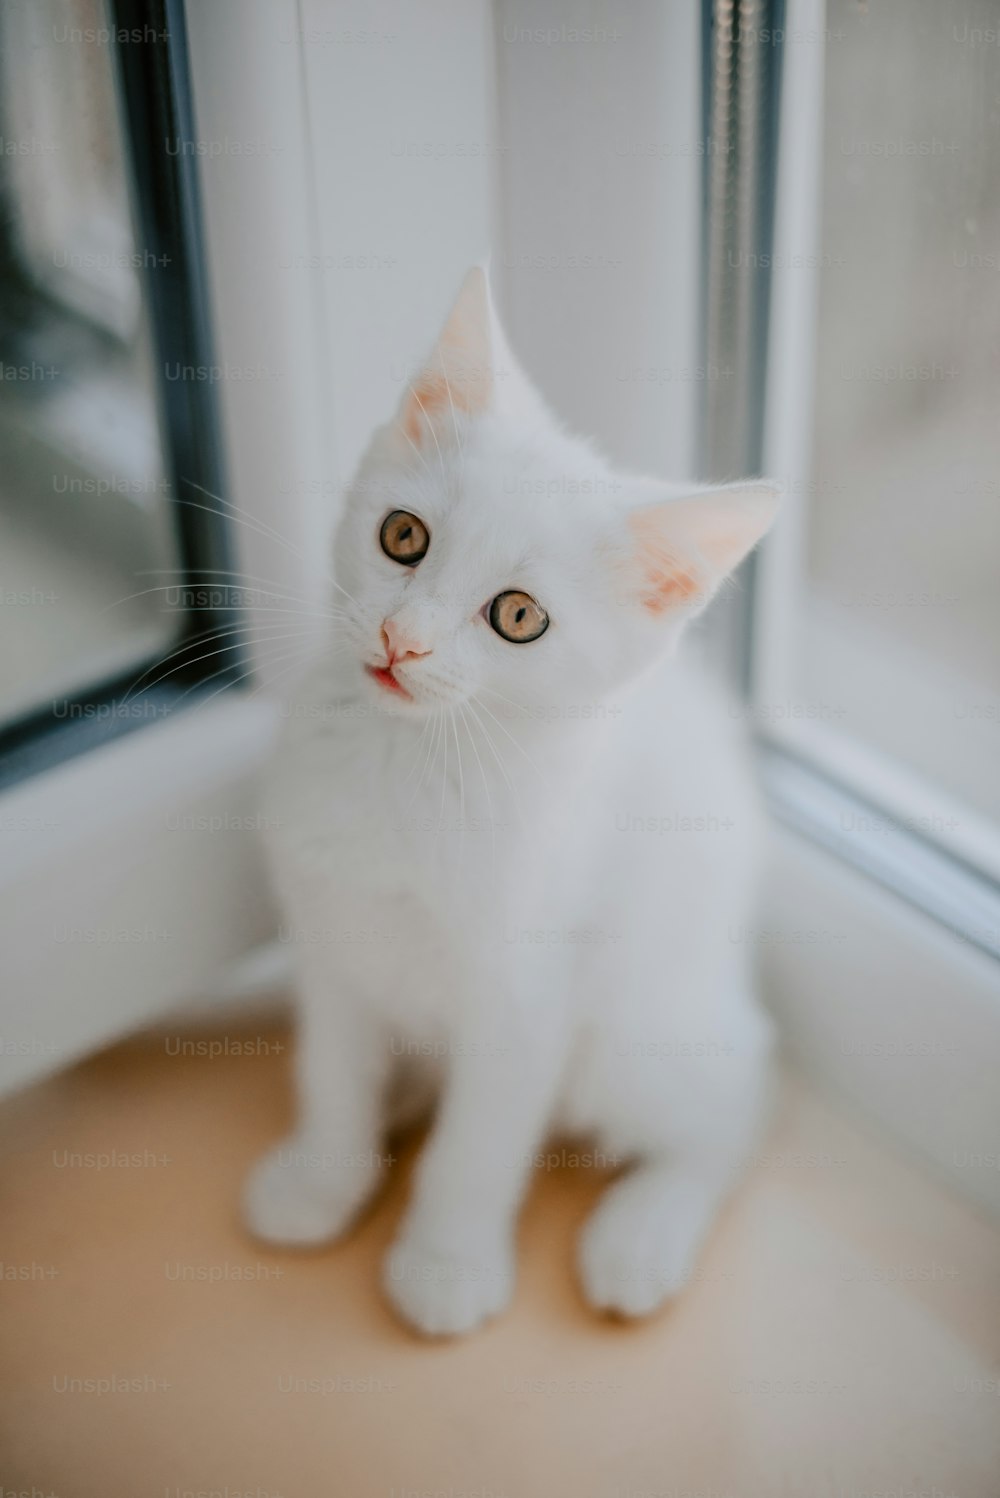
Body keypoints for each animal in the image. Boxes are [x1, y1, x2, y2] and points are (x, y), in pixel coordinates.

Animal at [244, 269, 778, 1336]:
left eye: (518, 617)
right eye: (403, 536)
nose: (403, 639)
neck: (410, 765)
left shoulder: (527, 991)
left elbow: (480, 1144)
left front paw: (446, 1262)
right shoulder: (331, 938)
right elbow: (332, 1070)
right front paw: (325, 1178)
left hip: (640, 1029)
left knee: (734, 1097)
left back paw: (644, 1231)